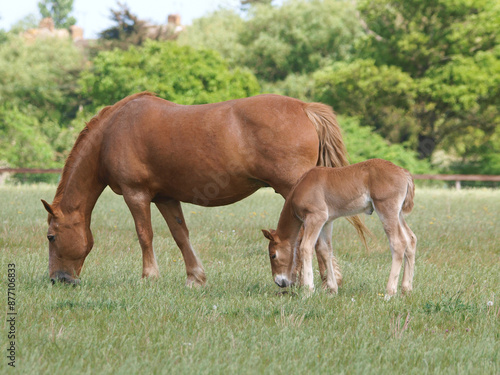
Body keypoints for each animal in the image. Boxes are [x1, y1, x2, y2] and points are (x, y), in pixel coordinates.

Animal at [264, 159, 416, 296]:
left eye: (273, 255)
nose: (279, 282)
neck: (300, 187)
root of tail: (404, 173)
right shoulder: (327, 221)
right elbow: (325, 250)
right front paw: (332, 289)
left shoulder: (315, 217)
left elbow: (305, 247)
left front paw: (308, 290)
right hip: (398, 213)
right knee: (411, 239)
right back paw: (406, 290)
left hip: (386, 208)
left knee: (398, 243)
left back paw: (389, 293)